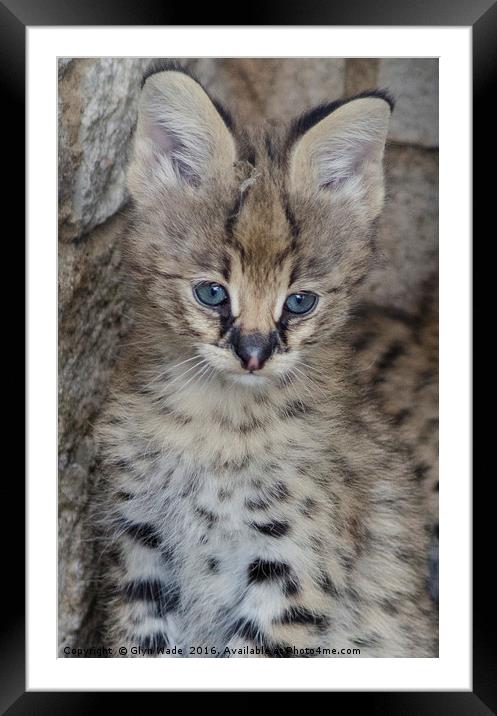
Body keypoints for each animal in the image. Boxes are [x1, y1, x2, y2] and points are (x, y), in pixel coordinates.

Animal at [95, 67, 436, 660]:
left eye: (299, 302)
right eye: (212, 293)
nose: (253, 354)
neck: (214, 420)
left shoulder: (292, 569)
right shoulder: (140, 547)